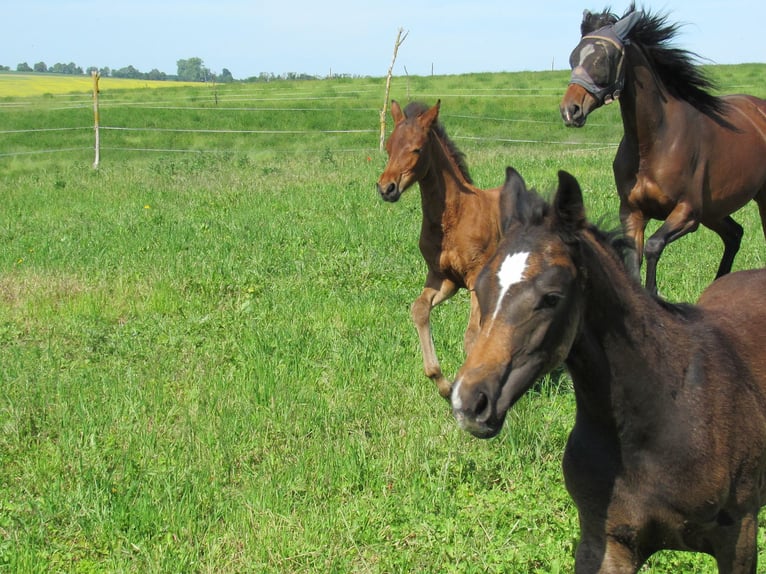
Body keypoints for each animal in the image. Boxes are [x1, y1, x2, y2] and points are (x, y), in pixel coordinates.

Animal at [376, 100, 505, 399]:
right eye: (388, 146)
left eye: (416, 149)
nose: (386, 188)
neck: (453, 217)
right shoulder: (442, 278)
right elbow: (419, 309)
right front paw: (443, 383)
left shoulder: (474, 278)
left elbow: (471, 337)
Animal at [559, 5, 766, 295]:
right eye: (574, 56)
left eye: (604, 58)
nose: (570, 111)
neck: (653, 145)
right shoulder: (632, 213)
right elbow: (632, 258)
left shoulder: (687, 212)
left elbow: (653, 246)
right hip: (714, 211)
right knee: (735, 234)